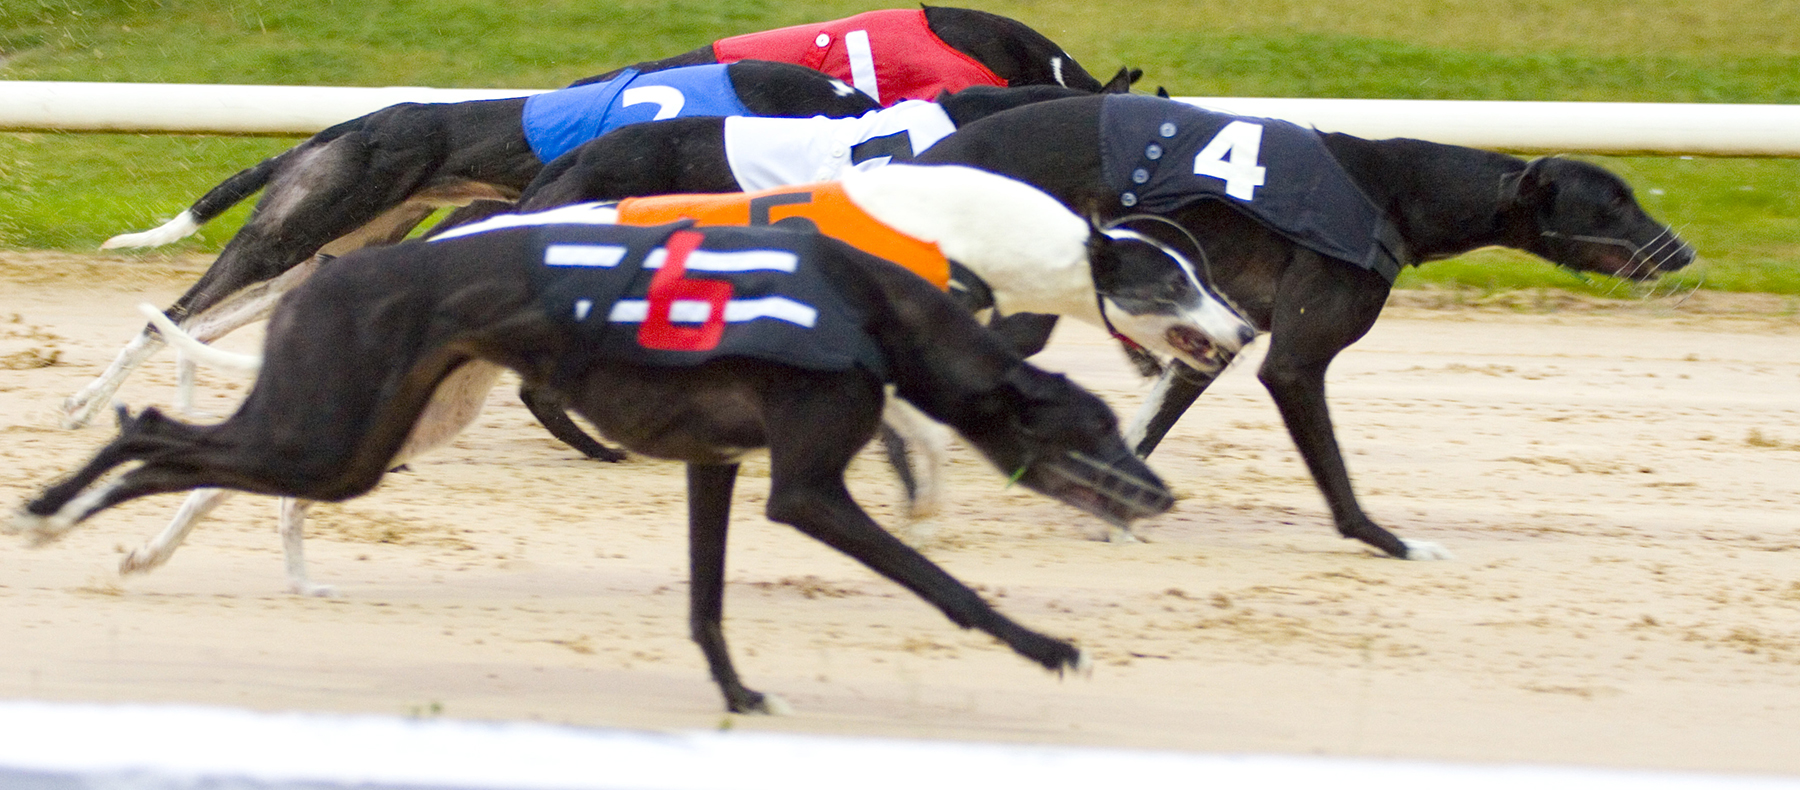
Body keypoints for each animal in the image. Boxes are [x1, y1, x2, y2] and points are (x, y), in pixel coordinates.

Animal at [11, 214, 1175, 714]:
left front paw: (738, 693)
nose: (1160, 492)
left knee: (161, 438)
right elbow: (946, 586)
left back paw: (77, 521)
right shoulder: (807, 489)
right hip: (329, 433)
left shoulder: (715, 463)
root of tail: (328, 274)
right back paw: (53, 511)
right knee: (152, 428)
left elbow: (707, 600)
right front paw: (1047, 647)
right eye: (1093, 433)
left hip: (346, 440)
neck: (873, 308)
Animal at [110, 164, 1251, 595]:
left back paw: (229, 561)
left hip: (433, 404)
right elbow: (920, 440)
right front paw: (926, 503)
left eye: (1204, 270)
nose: (1240, 329)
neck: (956, 218)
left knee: (266, 478)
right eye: (1171, 279)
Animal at [915, 93, 1697, 559]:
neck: (1395, 189)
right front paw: (1394, 544)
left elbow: (1145, 430)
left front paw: (1110, 516)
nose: (1685, 252)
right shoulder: (1292, 361)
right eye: (1613, 203)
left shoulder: (1206, 341)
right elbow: (1335, 474)